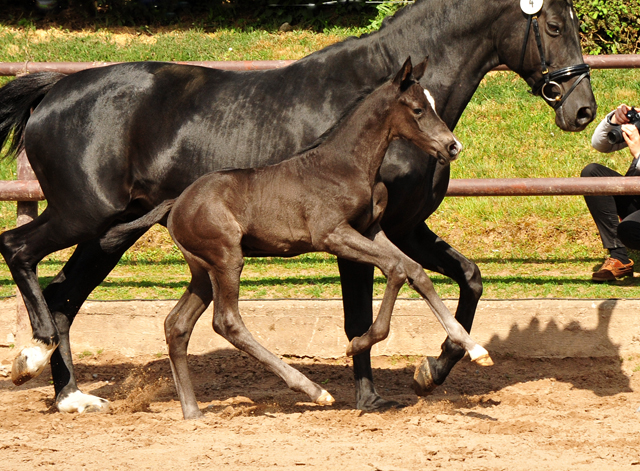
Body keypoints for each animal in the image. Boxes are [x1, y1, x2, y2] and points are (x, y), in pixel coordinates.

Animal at [101, 57, 490, 418]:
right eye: (418, 109)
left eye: (433, 105)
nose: (452, 146)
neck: (348, 165)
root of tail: (176, 203)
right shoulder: (333, 235)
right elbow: (395, 269)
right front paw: (357, 344)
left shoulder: (371, 230)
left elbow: (415, 271)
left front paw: (475, 350)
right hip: (227, 259)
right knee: (227, 321)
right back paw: (313, 390)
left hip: (202, 271)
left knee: (177, 324)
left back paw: (193, 411)